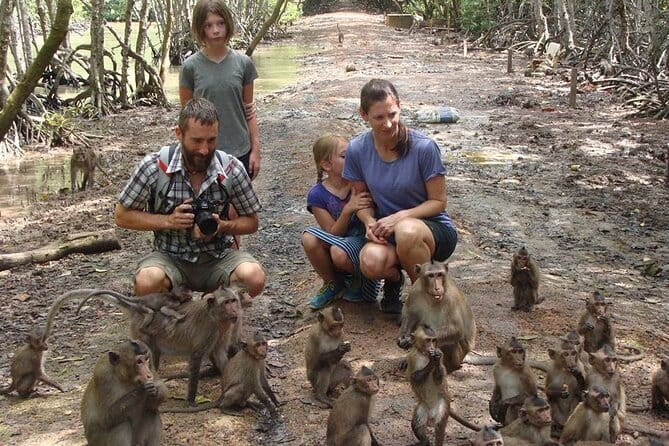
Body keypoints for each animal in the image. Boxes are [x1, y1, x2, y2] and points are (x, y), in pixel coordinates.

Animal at [76, 286, 242, 405]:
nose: (235, 310)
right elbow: (196, 356)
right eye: (227, 303)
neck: (216, 316)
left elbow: (220, 355)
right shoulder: (209, 330)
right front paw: (190, 400)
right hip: (140, 334)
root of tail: (137, 309)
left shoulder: (224, 330)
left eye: (233, 300)